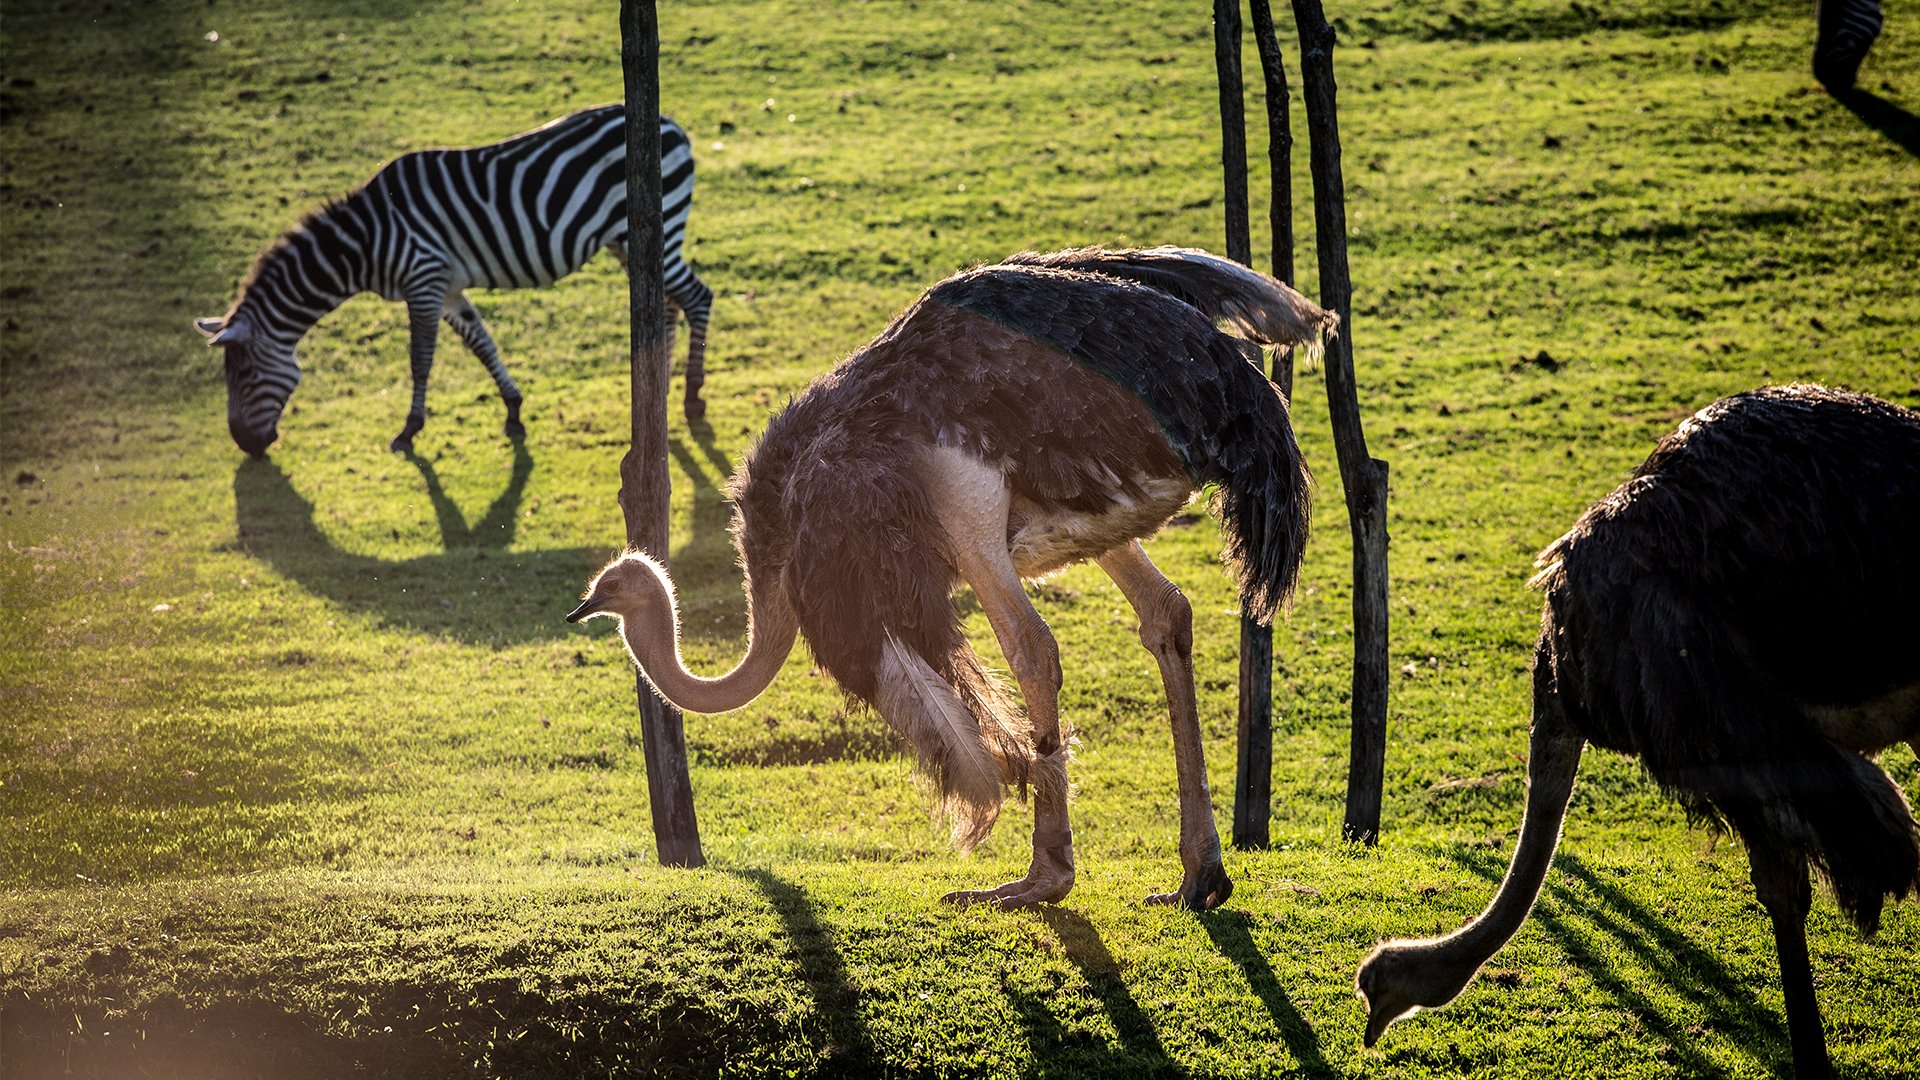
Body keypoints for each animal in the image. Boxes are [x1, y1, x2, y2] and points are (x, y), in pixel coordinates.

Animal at [194, 101, 714, 453]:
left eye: (242, 373)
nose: (245, 445)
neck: (365, 239)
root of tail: (672, 125)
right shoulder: (445, 288)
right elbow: (481, 342)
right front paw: (514, 410)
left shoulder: (422, 279)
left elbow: (420, 359)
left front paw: (409, 429)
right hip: (631, 244)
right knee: (666, 302)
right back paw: (661, 387)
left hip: (657, 228)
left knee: (698, 297)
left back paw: (692, 397)